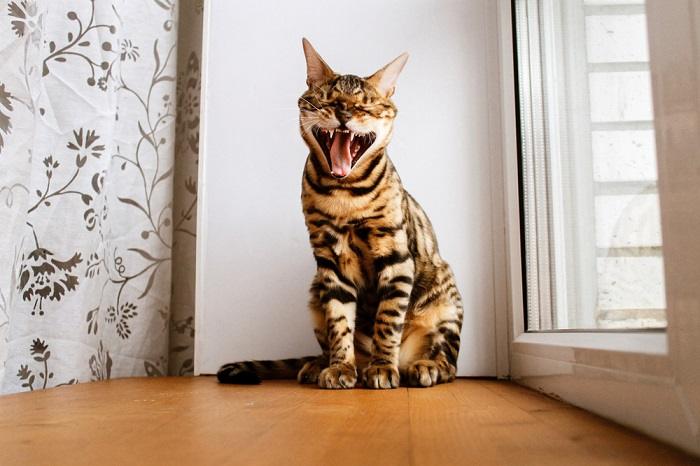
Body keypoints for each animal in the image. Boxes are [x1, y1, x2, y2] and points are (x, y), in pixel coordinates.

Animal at [216, 37, 462, 390]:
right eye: (328, 99)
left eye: (364, 105)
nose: (344, 112)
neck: (345, 195)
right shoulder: (329, 261)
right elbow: (339, 322)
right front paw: (341, 367)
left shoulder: (396, 257)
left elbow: (388, 320)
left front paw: (382, 367)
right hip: (314, 291)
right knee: (330, 340)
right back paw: (323, 365)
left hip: (446, 297)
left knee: (449, 360)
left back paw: (423, 366)